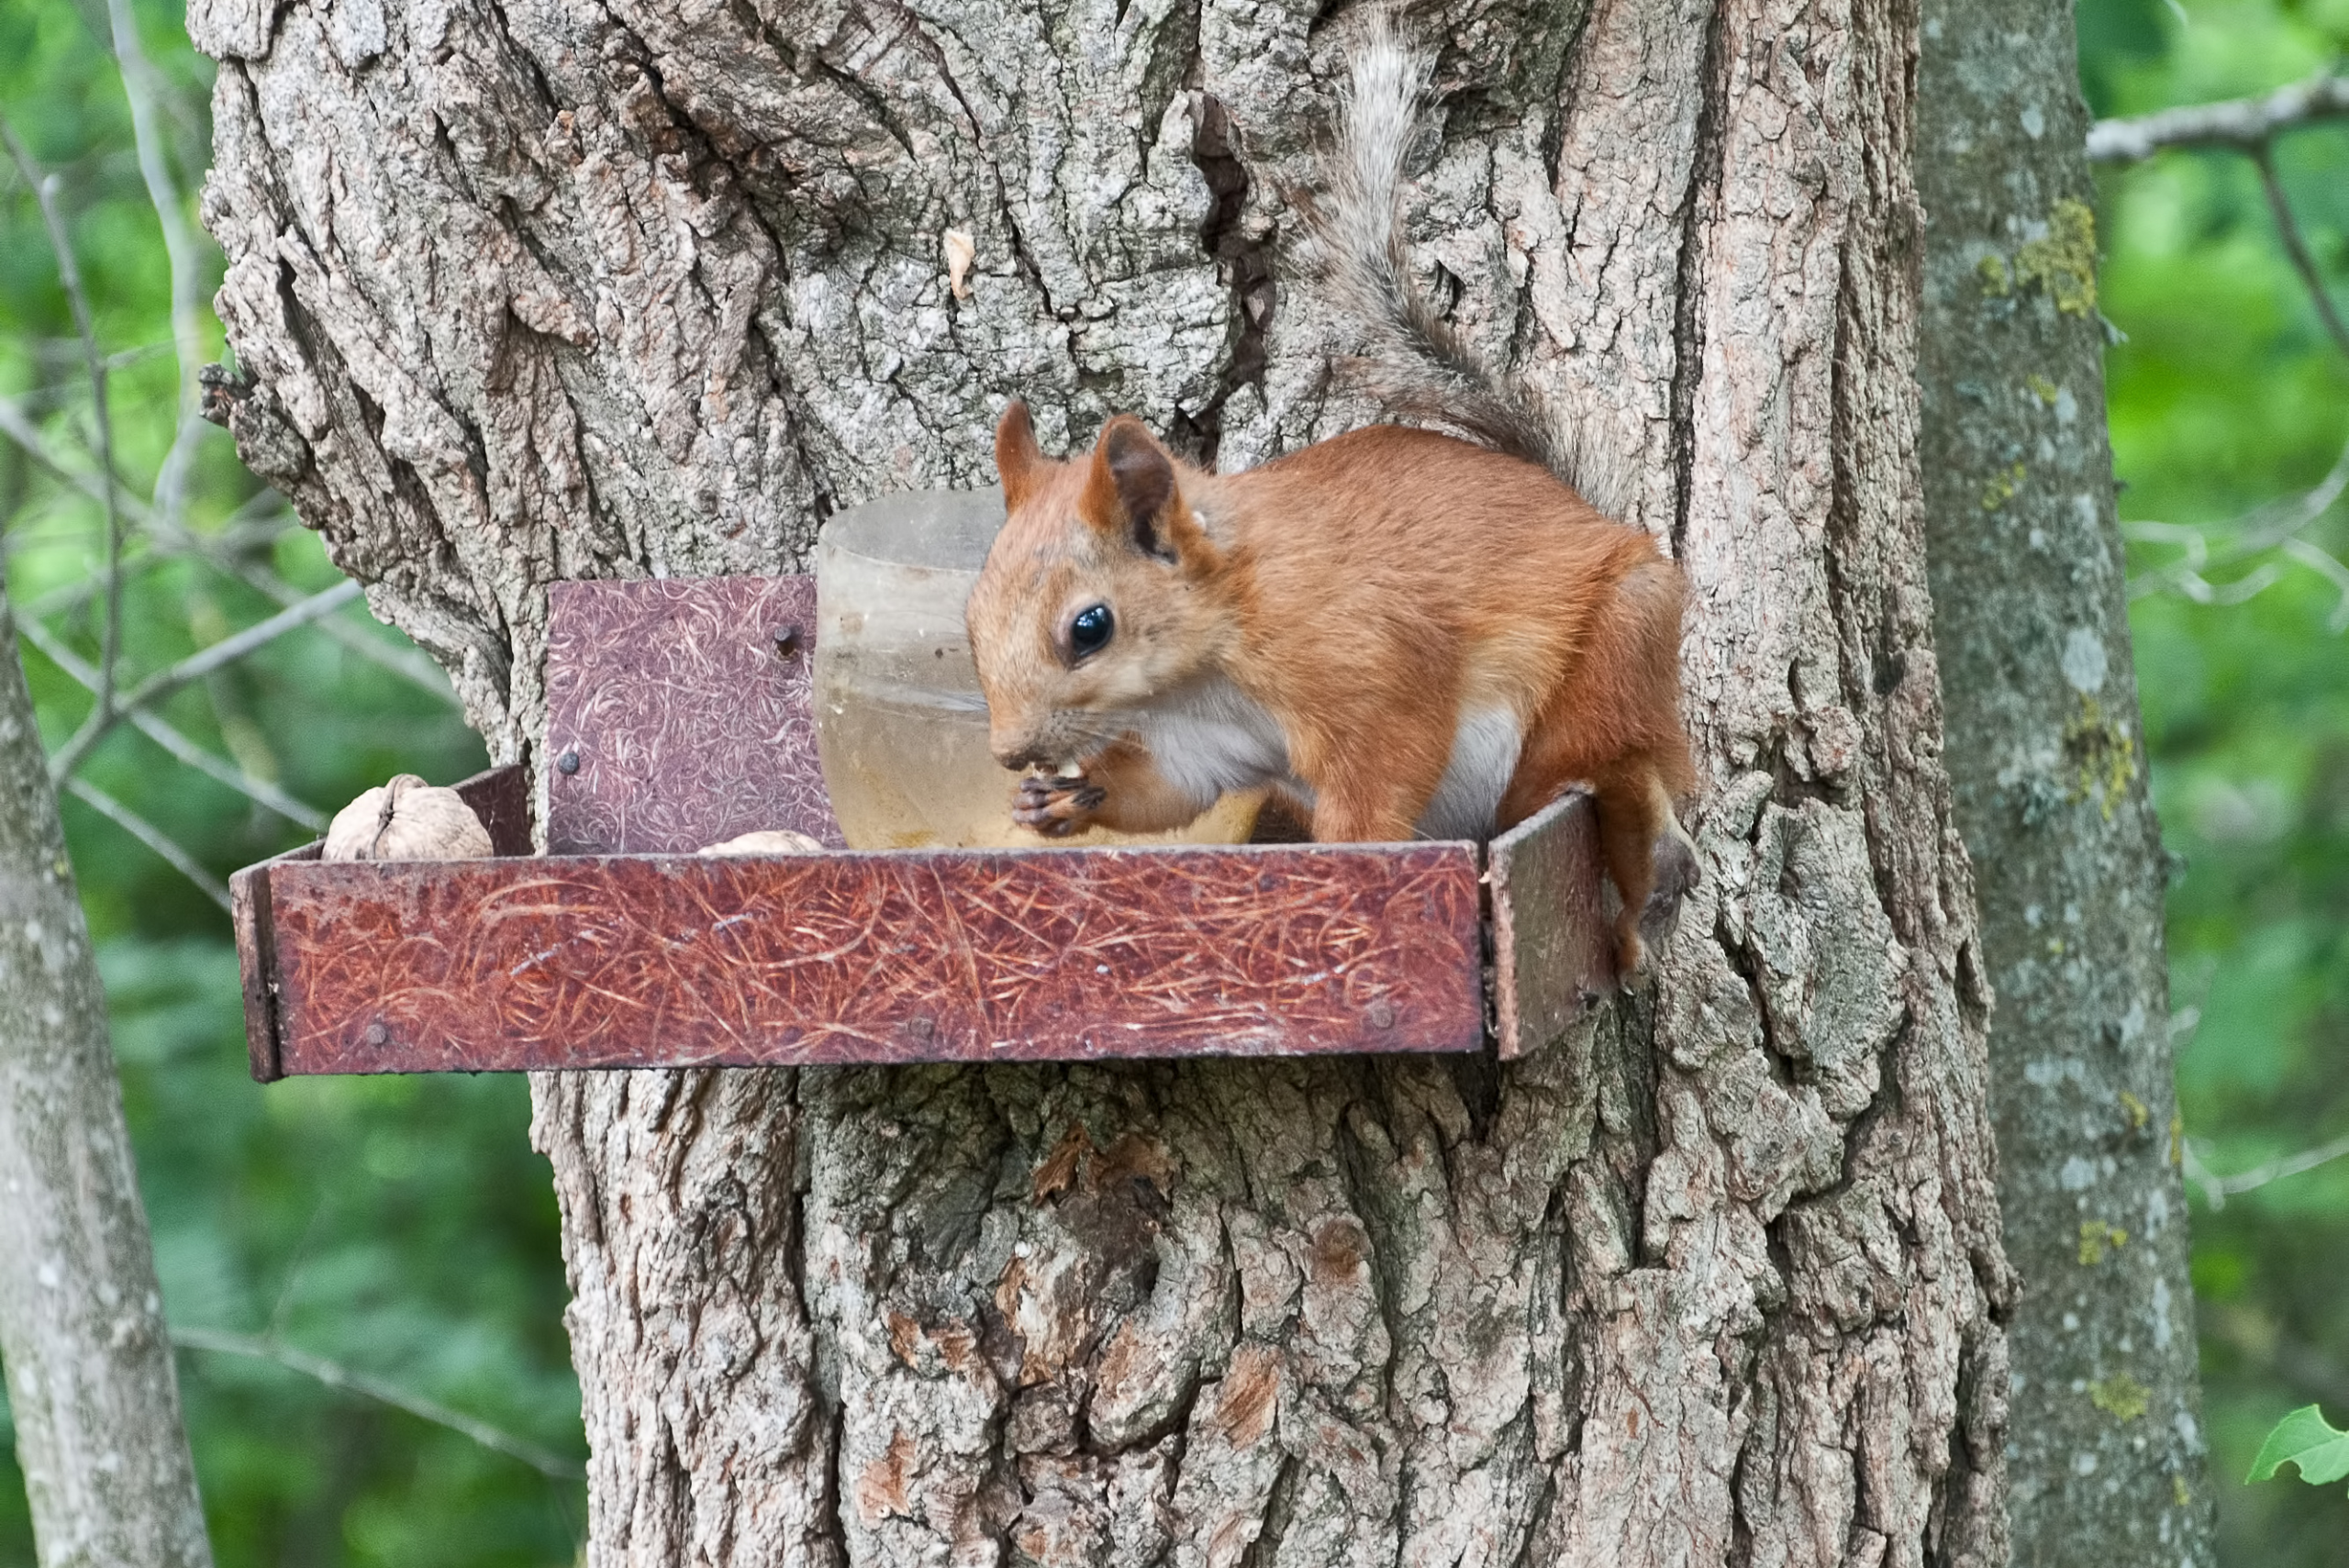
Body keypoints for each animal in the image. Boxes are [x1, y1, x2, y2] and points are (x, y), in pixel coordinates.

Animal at [963, 17, 1700, 967]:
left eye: (1090, 628)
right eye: (971, 617)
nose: (1013, 753)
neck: (1212, 655)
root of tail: (1592, 514)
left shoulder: (1364, 667)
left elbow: (1384, 771)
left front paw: (1355, 872)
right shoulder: (1202, 740)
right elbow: (1169, 791)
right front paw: (1064, 798)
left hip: (1614, 653)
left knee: (1611, 759)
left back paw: (1634, 849)